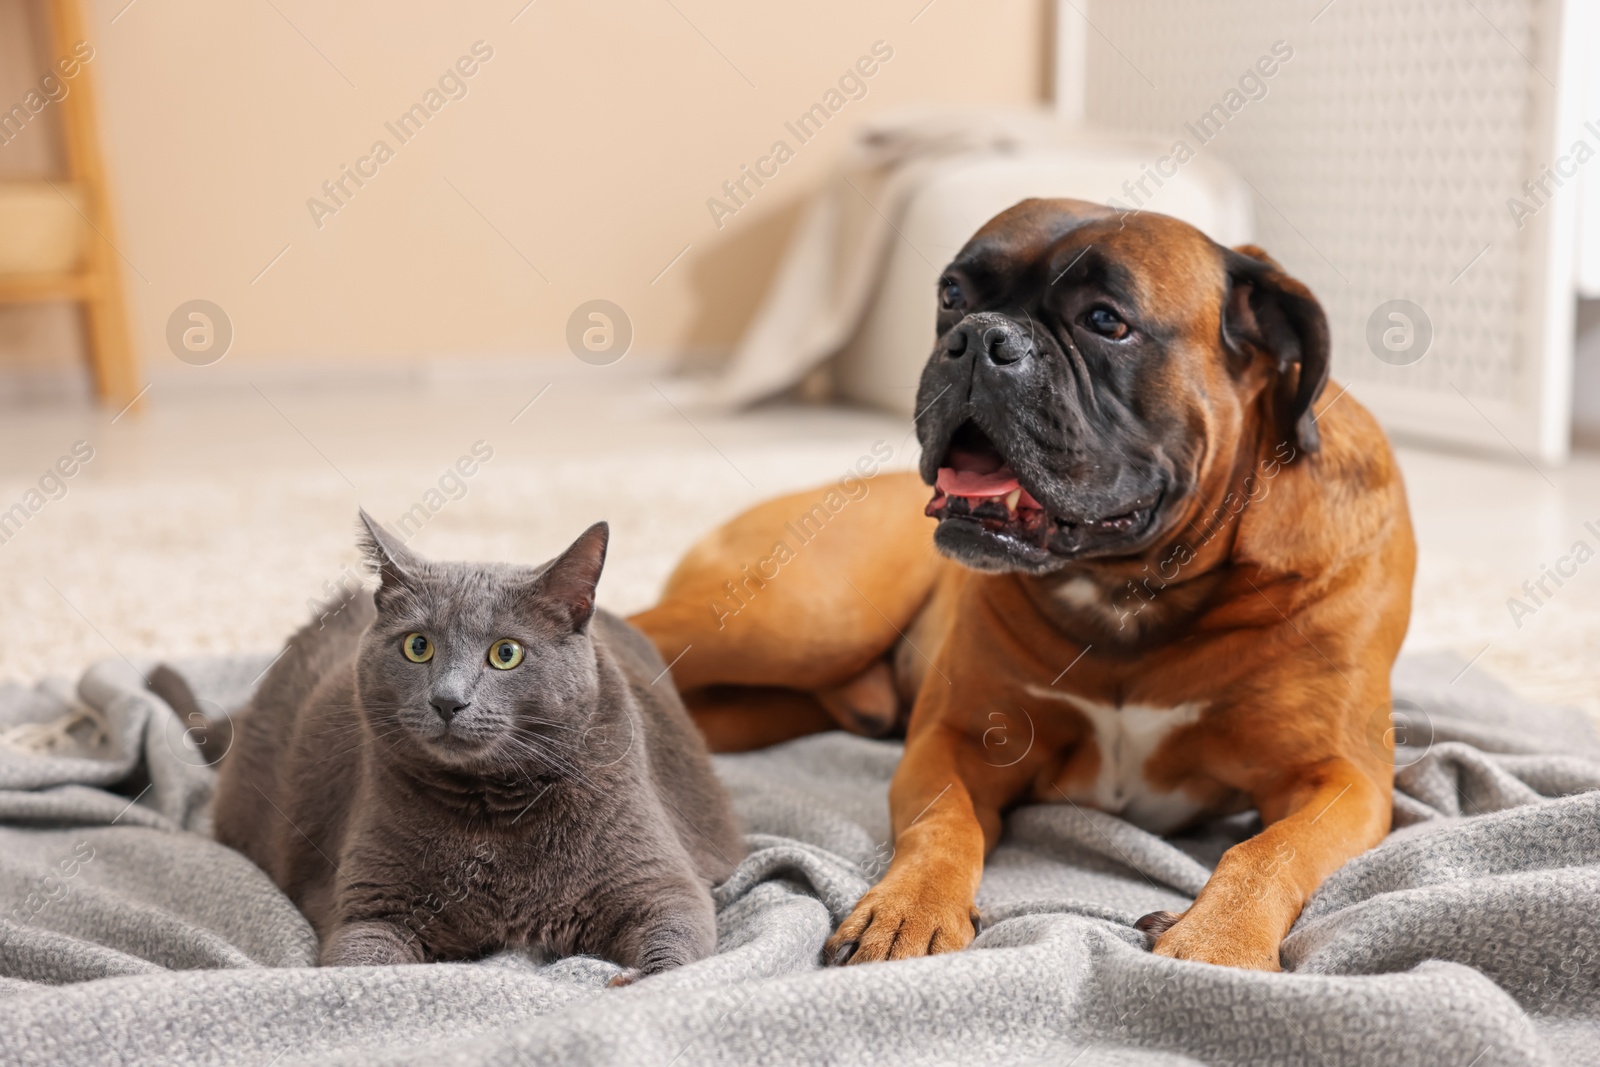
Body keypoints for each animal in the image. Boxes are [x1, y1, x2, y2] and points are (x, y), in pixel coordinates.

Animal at [209, 511, 739, 979]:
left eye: (506, 653)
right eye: (417, 646)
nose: (447, 700)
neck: (491, 810)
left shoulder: (659, 882)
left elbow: (675, 941)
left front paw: (638, 980)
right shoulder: (371, 907)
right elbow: (361, 965)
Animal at [627, 195, 1414, 972]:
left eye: (1106, 320)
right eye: (952, 295)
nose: (979, 338)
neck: (1132, 590)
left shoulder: (1340, 778)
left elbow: (1269, 849)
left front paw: (1218, 940)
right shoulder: (956, 739)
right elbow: (945, 822)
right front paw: (912, 907)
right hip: (806, 619)